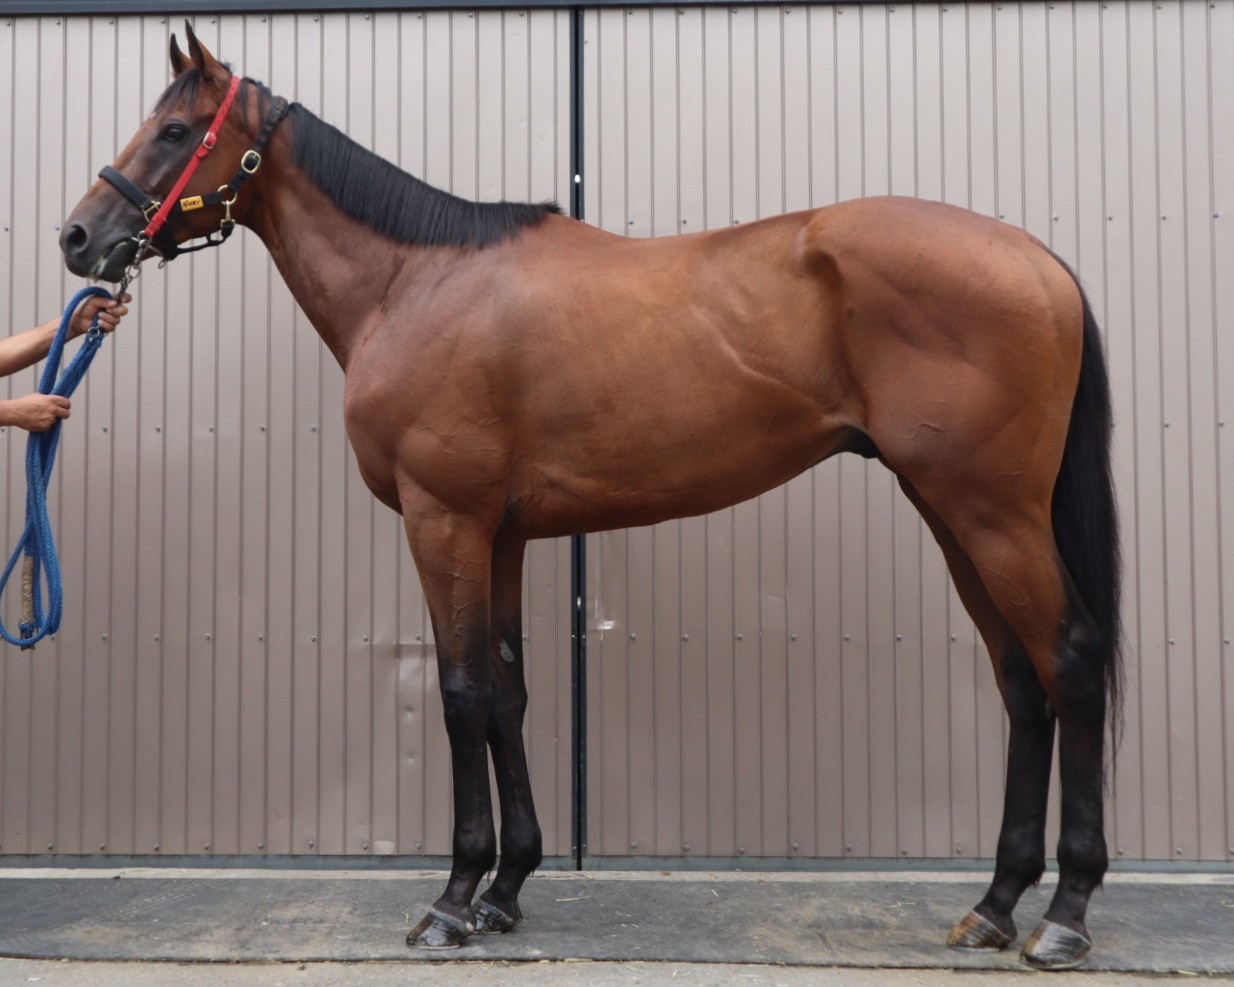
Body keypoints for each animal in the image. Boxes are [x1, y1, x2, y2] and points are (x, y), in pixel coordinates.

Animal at [60, 24, 1121, 971]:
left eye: (171, 130)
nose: (79, 238)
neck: (416, 278)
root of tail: (1035, 259)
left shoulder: (445, 519)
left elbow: (459, 694)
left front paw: (453, 901)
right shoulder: (502, 534)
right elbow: (507, 693)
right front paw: (506, 890)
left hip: (992, 513)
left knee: (1068, 662)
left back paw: (1064, 914)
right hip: (953, 513)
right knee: (1020, 680)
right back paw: (992, 905)